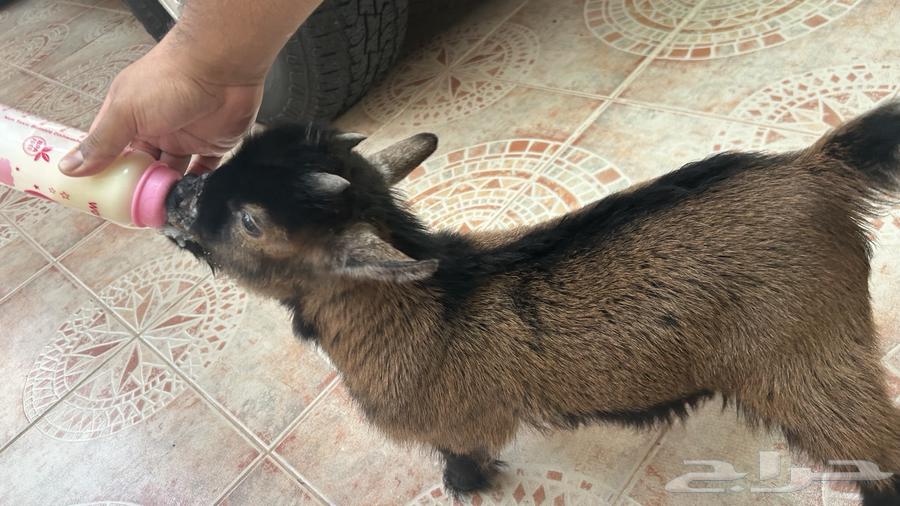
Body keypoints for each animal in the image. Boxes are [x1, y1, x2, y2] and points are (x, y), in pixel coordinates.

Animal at [164, 102, 900, 504]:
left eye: (251, 222)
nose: (174, 194)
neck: (428, 300)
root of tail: (816, 167)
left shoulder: (454, 423)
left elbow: (462, 457)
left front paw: (464, 486)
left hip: (807, 358)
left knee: (873, 446)